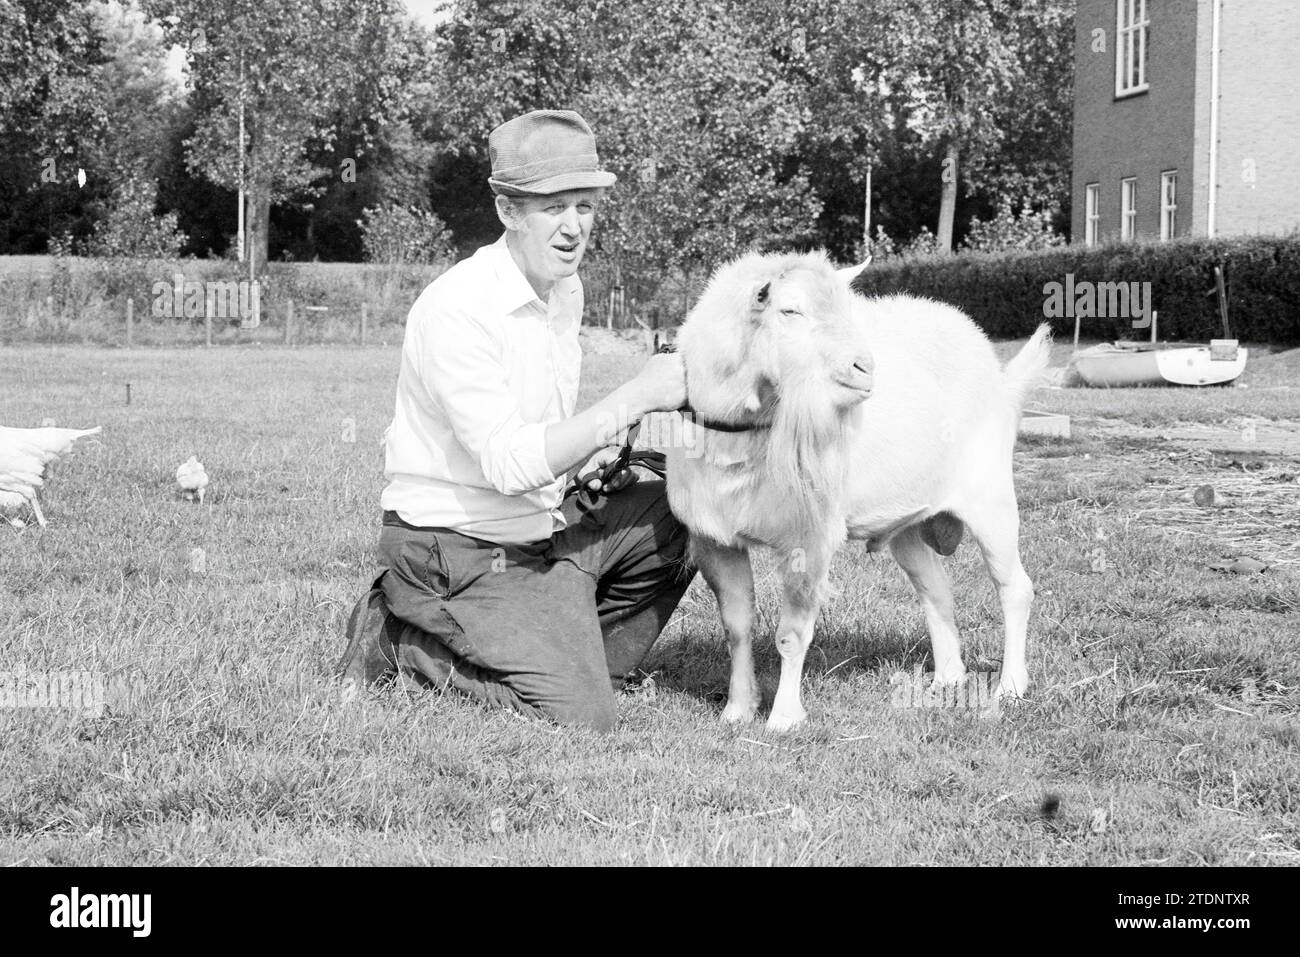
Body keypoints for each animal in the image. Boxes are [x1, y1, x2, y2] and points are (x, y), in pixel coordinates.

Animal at [665, 250, 1050, 728]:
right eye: (790, 310)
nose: (865, 368)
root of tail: (998, 374)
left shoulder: (808, 538)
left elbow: (792, 636)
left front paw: (783, 719)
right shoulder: (714, 538)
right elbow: (736, 626)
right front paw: (738, 710)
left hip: (990, 493)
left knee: (1014, 588)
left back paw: (1010, 689)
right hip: (908, 519)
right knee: (935, 587)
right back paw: (946, 679)